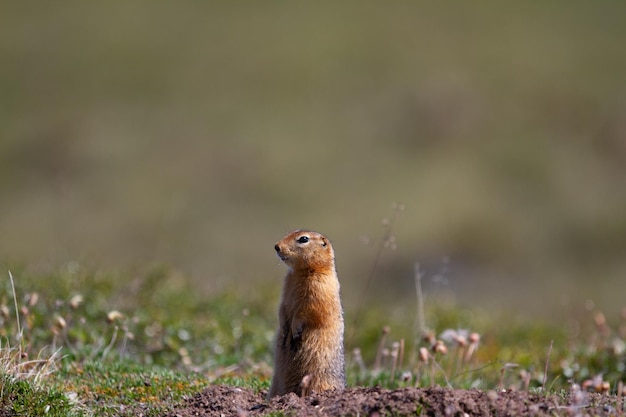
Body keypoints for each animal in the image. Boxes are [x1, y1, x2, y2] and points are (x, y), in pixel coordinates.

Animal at [268, 231, 346, 396]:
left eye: (303, 239)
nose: (276, 246)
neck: (301, 272)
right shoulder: (286, 286)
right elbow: (283, 307)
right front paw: (284, 330)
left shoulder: (319, 286)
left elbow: (308, 309)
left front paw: (295, 329)